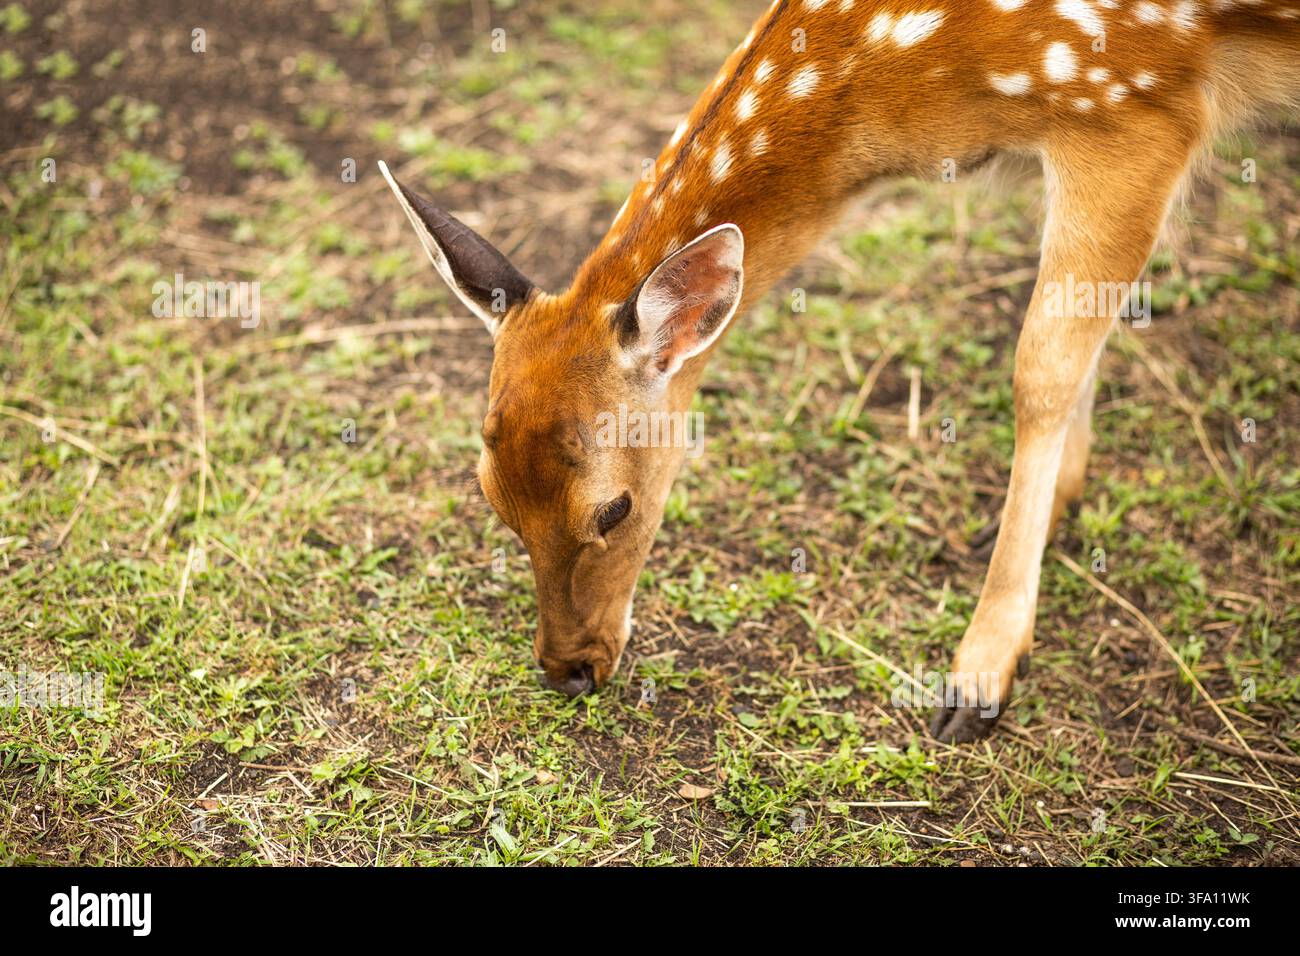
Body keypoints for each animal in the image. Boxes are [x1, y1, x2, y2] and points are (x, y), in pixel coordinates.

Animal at [379, 0, 1300, 742]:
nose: (568, 671)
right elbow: (1084, 342)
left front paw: (979, 675)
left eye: (615, 508)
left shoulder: (1138, 109)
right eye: (491, 496)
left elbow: (1041, 369)